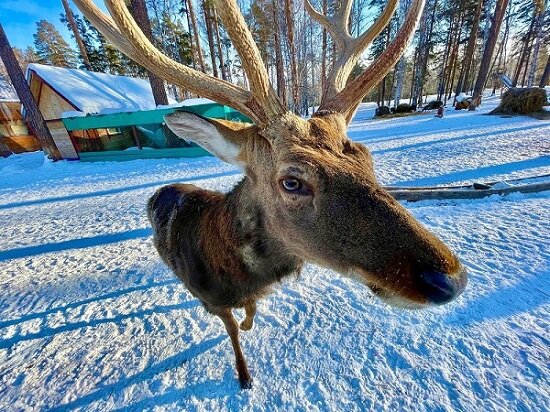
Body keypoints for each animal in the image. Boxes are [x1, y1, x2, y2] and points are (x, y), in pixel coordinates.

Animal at [74, 0, 470, 390]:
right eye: (291, 182)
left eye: (366, 157)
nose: (451, 280)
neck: (239, 274)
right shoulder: (215, 302)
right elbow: (233, 333)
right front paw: (244, 376)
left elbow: (250, 313)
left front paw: (251, 325)